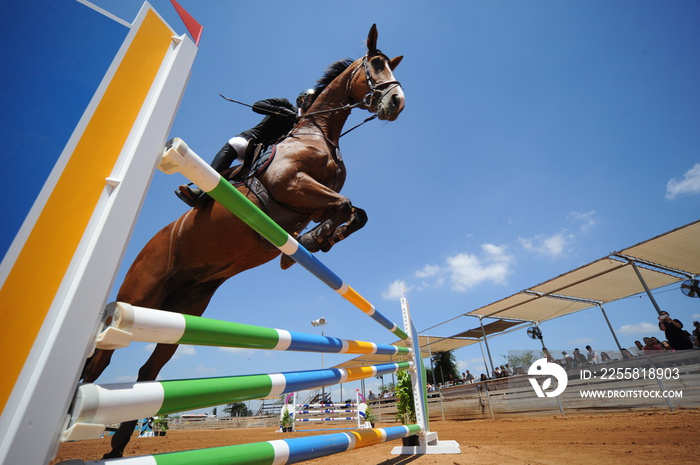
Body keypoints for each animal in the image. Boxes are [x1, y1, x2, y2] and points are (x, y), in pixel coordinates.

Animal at [78, 24, 404, 456]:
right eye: (376, 64)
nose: (397, 101)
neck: (315, 132)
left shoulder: (314, 200)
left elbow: (353, 212)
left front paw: (314, 241)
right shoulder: (292, 184)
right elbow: (345, 205)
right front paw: (314, 241)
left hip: (184, 311)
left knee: (150, 369)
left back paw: (117, 445)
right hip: (140, 295)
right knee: (101, 358)